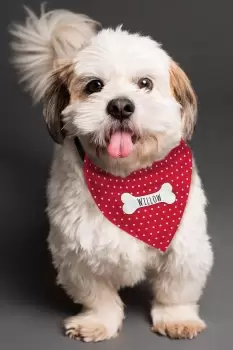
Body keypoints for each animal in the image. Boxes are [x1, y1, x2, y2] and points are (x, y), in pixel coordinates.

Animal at [10, 6, 213, 344]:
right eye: (94, 86)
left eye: (145, 83)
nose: (120, 105)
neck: (128, 179)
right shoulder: (76, 253)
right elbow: (98, 295)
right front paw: (97, 322)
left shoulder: (185, 246)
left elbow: (175, 290)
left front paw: (177, 318)